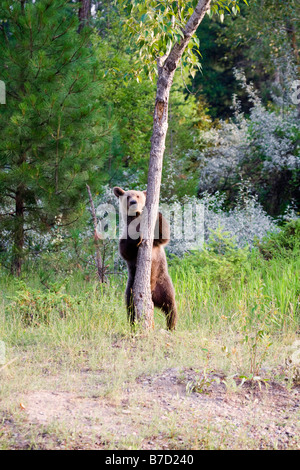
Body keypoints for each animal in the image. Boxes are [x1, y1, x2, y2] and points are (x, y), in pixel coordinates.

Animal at [113, 187, 177, 330]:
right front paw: (137, 236)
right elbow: (125, 250)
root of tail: (152, 295)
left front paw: (157, 212)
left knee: (170, 305)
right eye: (128, 196)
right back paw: (133, 325)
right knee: (130, 307)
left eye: (137, 196)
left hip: (162, 282)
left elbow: (164, 234)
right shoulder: (124, 236)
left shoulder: (155, 240)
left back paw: (171, 326)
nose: (133, 202)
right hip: (132, 286)